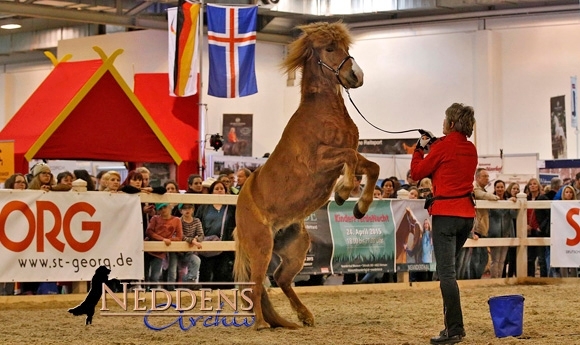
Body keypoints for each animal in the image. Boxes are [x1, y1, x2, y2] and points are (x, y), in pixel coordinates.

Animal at [236, 20, 380, 328]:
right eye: (329, 48)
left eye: (345, 47)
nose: (356, 75)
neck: (323, 113)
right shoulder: (320, 161)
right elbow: (350, 160)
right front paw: (343, 192)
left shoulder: (348, 155)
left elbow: (371, 166)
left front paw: (359, 207)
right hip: (261, 246)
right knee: (256, 284)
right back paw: (261, 323)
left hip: (296, 248)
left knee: (280, 279)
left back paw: (303, 316)